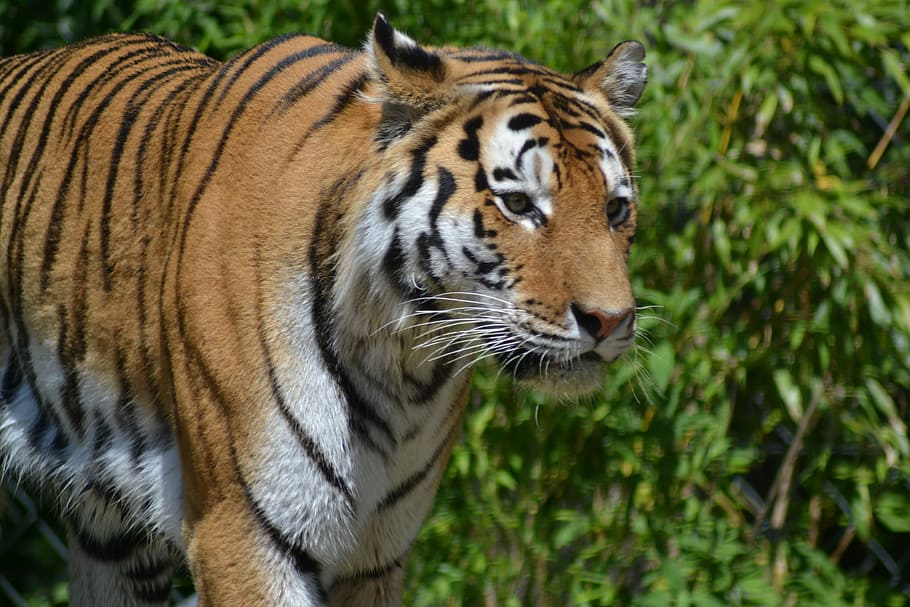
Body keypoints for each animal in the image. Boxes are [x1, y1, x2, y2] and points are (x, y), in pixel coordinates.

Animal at [0, 13, 646, 606]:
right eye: (517, 203)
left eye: (615, 209)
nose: (610, 321)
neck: (400, 361)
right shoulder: (240, 532)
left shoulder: (375, 553)